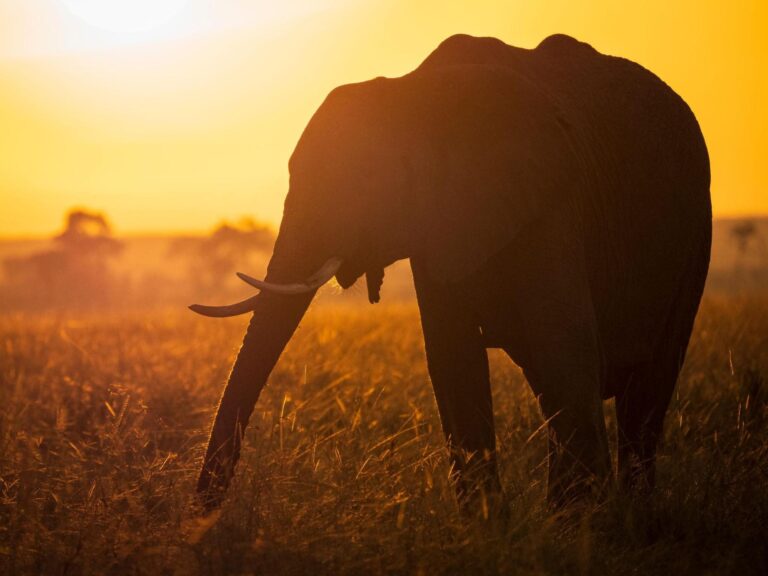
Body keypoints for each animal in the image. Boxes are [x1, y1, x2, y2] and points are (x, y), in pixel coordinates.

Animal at [191, 33, 711, 510]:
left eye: (364, 178)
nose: (203, 516)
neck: (413, 92)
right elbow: (452, 356)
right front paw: (491, 528)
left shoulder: (551, 202)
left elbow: (562, 340)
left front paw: (578, 528)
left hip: (694, 230)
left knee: (647, 387)